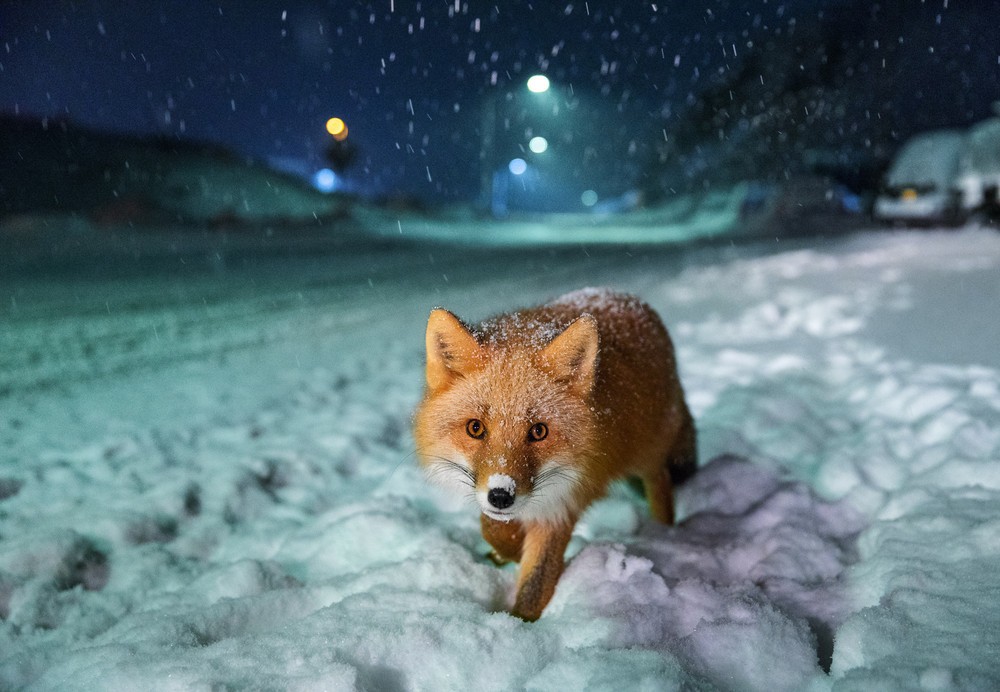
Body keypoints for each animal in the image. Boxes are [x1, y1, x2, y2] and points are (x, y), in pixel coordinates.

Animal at [414, 288, 696, 620]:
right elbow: (492, 526)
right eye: (475, 428)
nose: (501, 496)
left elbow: (537, 581)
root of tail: (625, 296)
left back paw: (664, 532)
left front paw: (522, 622)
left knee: (661, 481)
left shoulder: (565, 500)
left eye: (538, 431)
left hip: (648, 454)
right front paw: (508, 549)